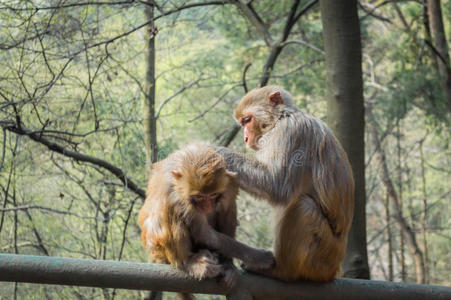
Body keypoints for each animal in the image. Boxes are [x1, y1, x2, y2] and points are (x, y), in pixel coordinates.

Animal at [138, 144, 274, 298]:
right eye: (199, 197)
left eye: (213, 195)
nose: (207, 206)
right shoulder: (176, 193)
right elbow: (202, 232)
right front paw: (260, 257)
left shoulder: (230, 184)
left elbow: (227, 211)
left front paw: (229, 263)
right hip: (159, 248)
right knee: (169, 212)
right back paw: (188, 263)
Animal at [217, 86, 354, 282]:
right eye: (242, 123)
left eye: (247, 120)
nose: (245, 138)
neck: (281, 118)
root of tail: (335, 269)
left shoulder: (290, 132)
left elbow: (277, 184)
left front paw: (218, 152)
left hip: (323, 257)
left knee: (303, 207)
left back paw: (280, 270)